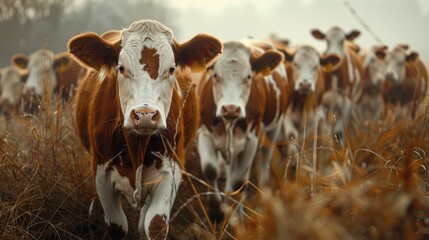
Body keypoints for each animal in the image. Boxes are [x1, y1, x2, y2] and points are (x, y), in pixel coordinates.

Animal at [67, 19, 221, 240]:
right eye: (121, 68)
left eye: (172, 69)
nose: (145, 115)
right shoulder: (102, 171)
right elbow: (116, 226)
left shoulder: (170, 169)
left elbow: (155, 224)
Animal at [197, 40, 288, 220]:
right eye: (215, 76)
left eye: (249, 76)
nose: (231, 109)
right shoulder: (204, 133)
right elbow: (210, 170)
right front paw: (215, 211)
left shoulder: (251, 140)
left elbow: (239, 182)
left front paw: (237, 218)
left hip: (273, 129)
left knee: (264, 158)